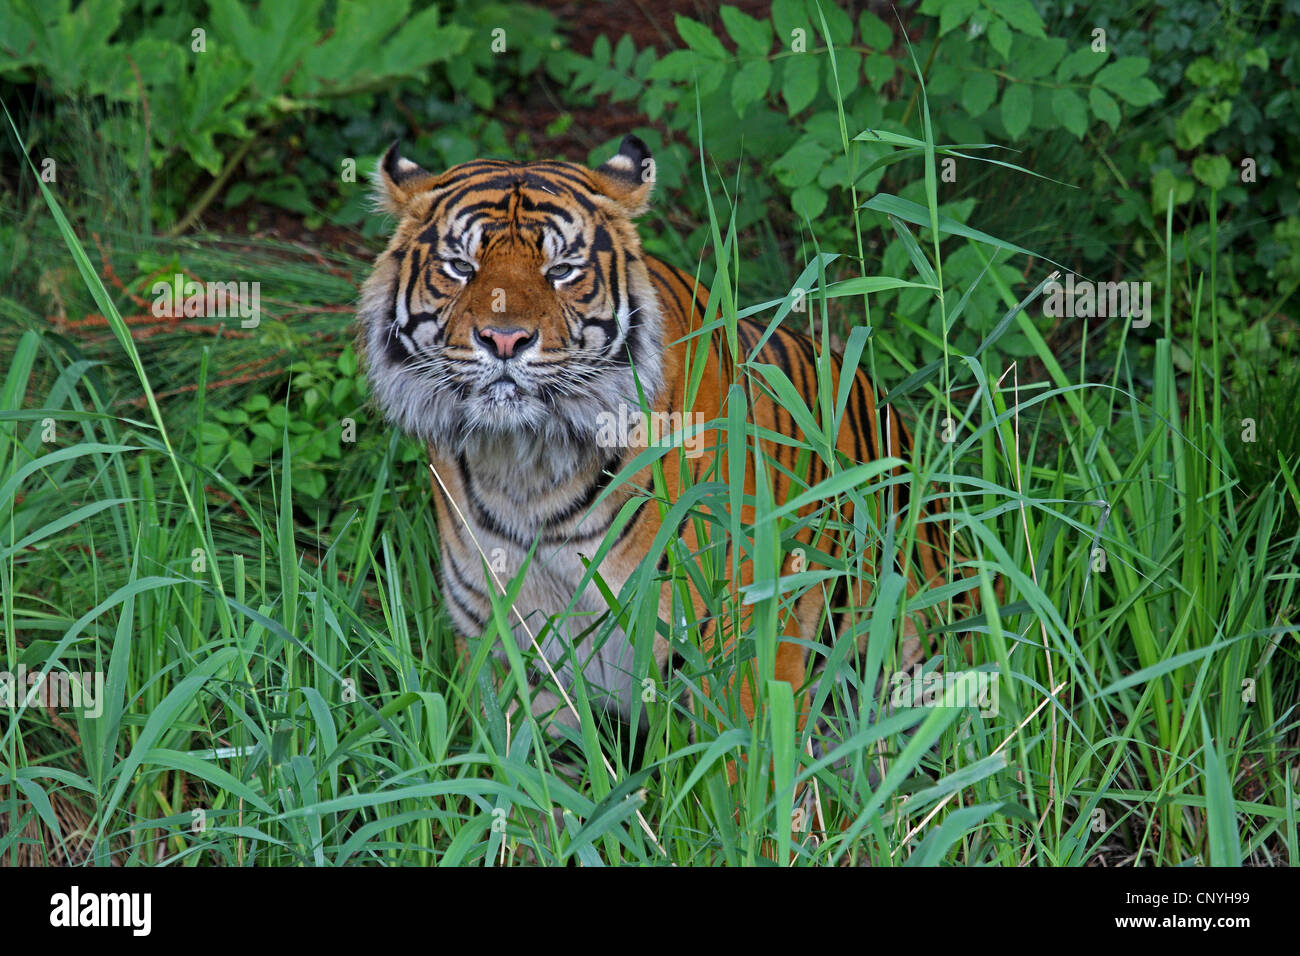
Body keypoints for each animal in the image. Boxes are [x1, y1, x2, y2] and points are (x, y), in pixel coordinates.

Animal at [356, 132, 967, 764]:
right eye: (461, 267)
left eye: (562, 270)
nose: (505, 340)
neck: (526, 467)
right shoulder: (504, 648)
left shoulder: (736, 637)